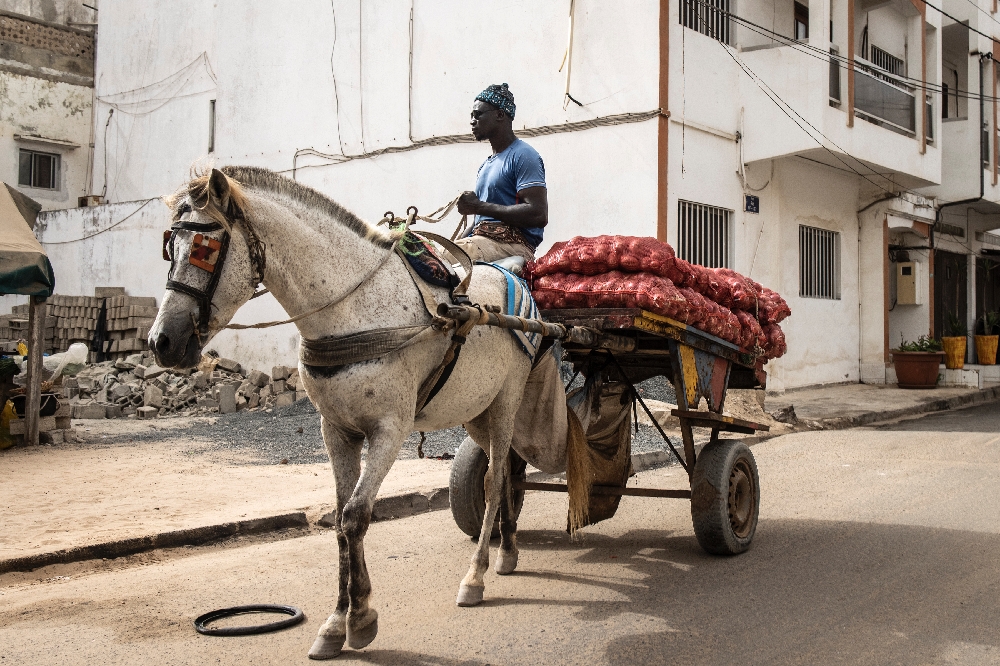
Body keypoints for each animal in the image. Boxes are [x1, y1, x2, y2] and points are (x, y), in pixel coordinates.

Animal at [149, 167, 536, 660]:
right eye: (169, 247)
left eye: (204, 247)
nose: (162, 342)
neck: (351, 309)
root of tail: (517, 280)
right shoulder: (335, 429)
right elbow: (339, 519)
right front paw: (338, 622)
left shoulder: (390, 429)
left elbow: (356, 515)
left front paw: (360, 617)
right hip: (475, 408)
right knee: (506, 473)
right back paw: (508, 548)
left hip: (506, 400)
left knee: (493, 479)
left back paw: (477, 573)